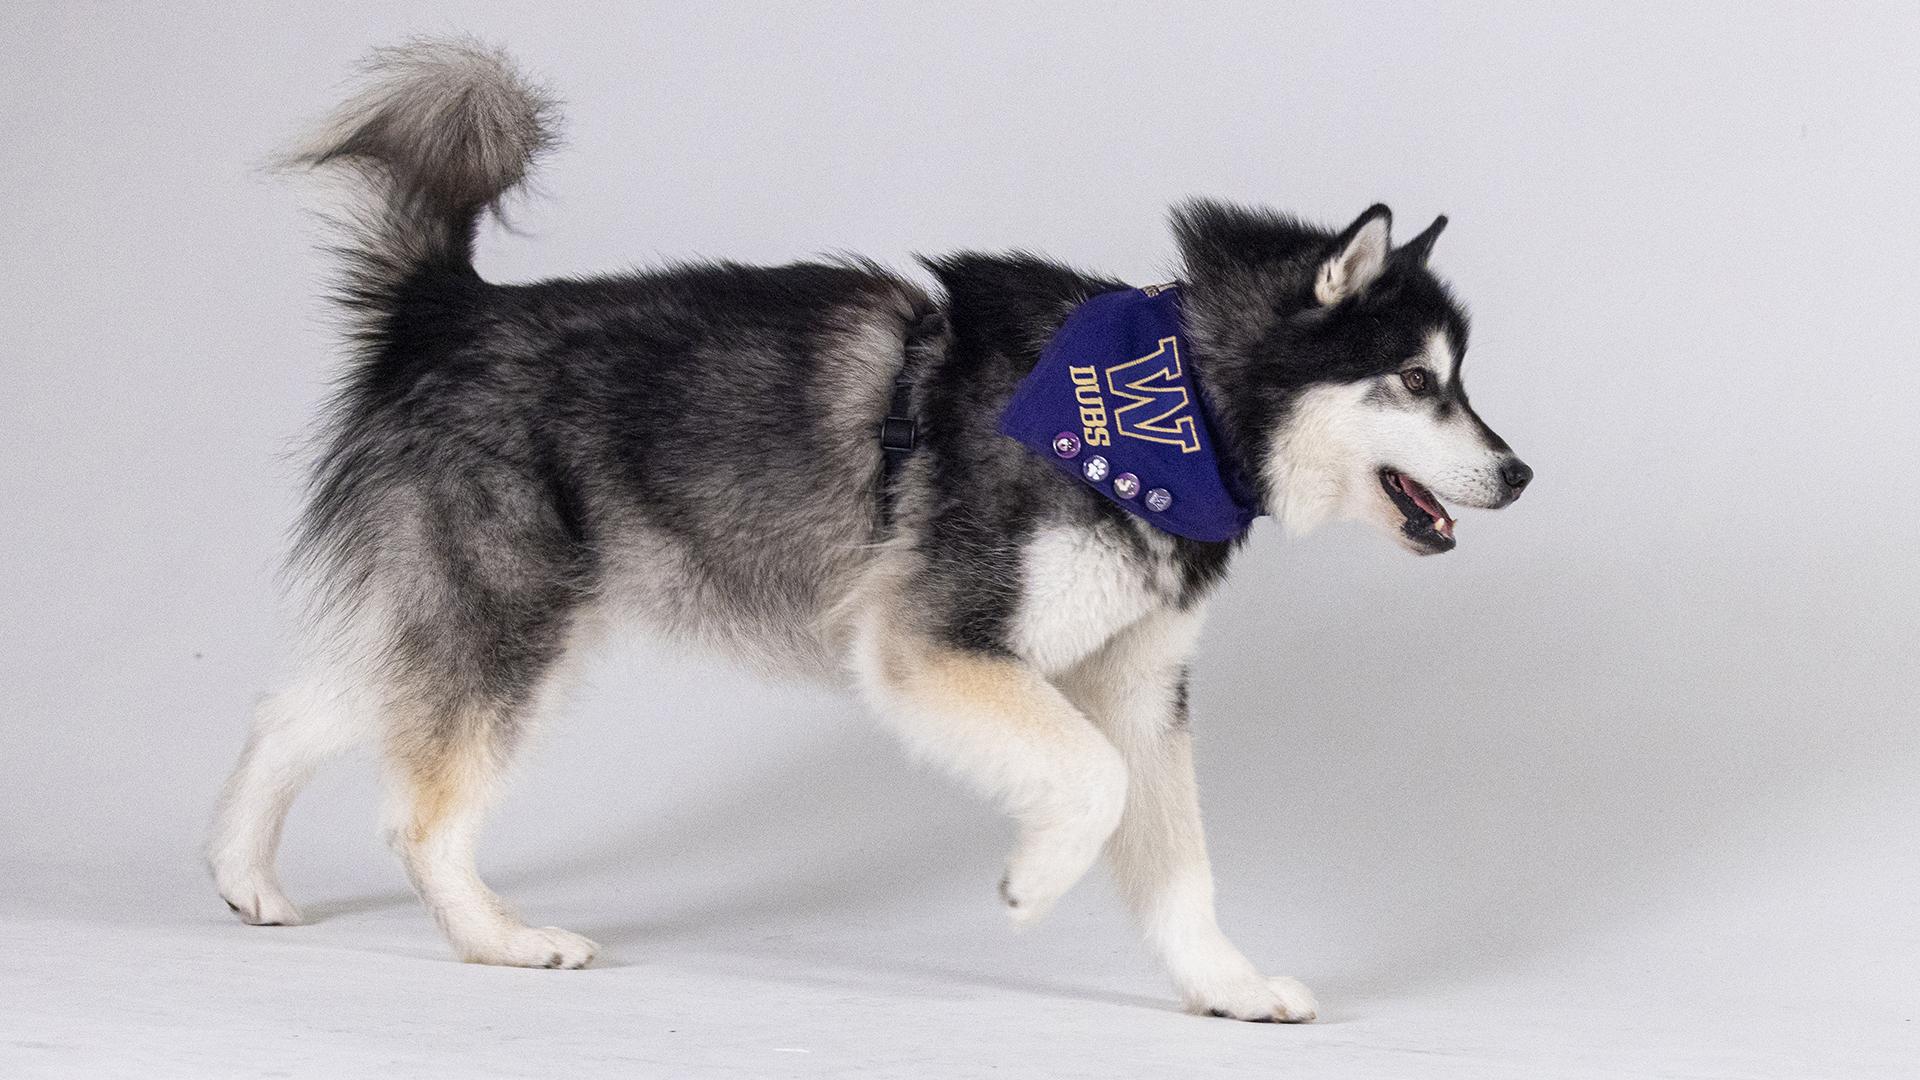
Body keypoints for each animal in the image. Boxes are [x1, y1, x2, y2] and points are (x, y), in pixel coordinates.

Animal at [210, 39, 1528, 1014]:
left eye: (1459, 379)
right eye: (1418, 381)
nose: (1518, 474)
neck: (1183, 409)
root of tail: (454, 309)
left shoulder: (1138, 683)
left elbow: (1178, 861)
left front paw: (1228, 988)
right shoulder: (934, 646)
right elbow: (1089, 779)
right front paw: (1035, 884)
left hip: (480, 617)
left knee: (293, 709)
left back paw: (243, 875)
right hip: (509, 625)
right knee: (421, 813)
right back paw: (501, 941)